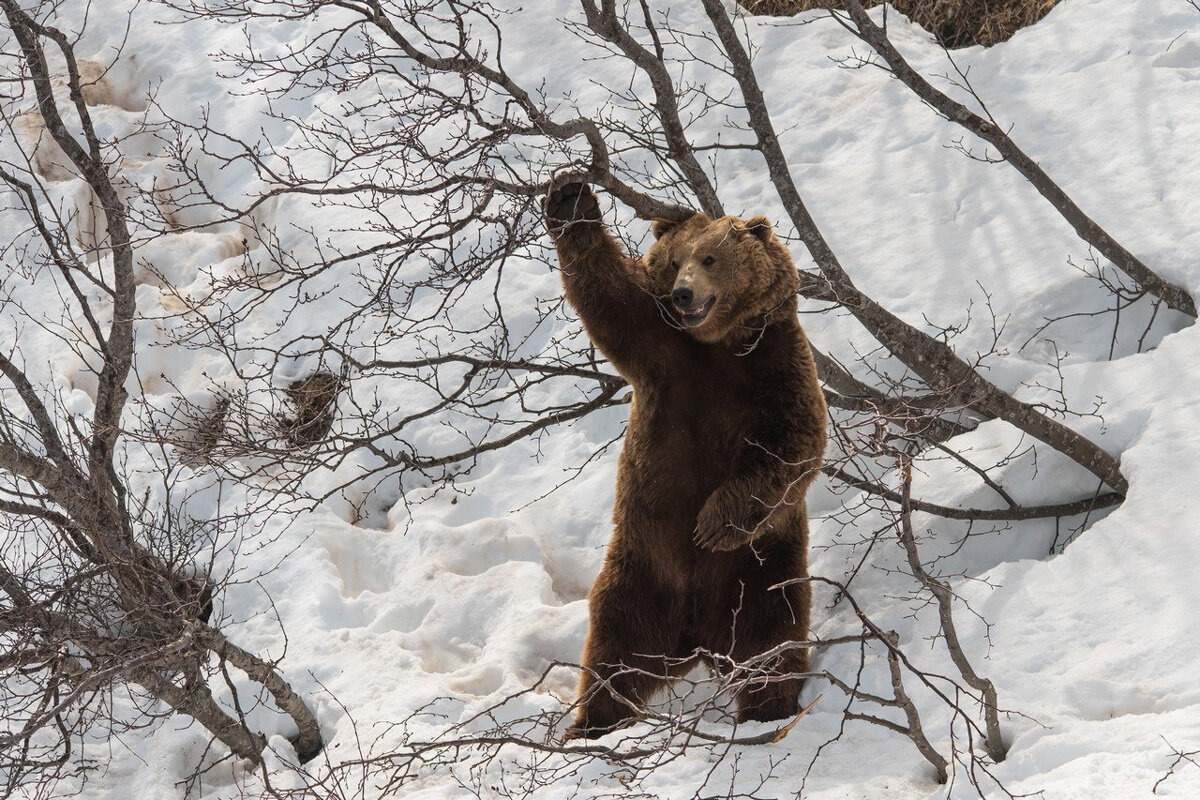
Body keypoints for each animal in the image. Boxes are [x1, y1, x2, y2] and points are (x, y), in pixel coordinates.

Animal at [544, 179, 825, 738]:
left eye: (711, 257)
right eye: (675, 262)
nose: (683, 293)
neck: (717, 344)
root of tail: (696, 637)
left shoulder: (776, 364)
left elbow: (793, 444)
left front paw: (713, 523)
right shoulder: (664, 352)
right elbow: (611, 301)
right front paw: (570, 200)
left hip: (759, 570)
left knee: (772, 636)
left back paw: (768, 708)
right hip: (642, 569)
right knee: (613, 649)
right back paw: (592, 724)